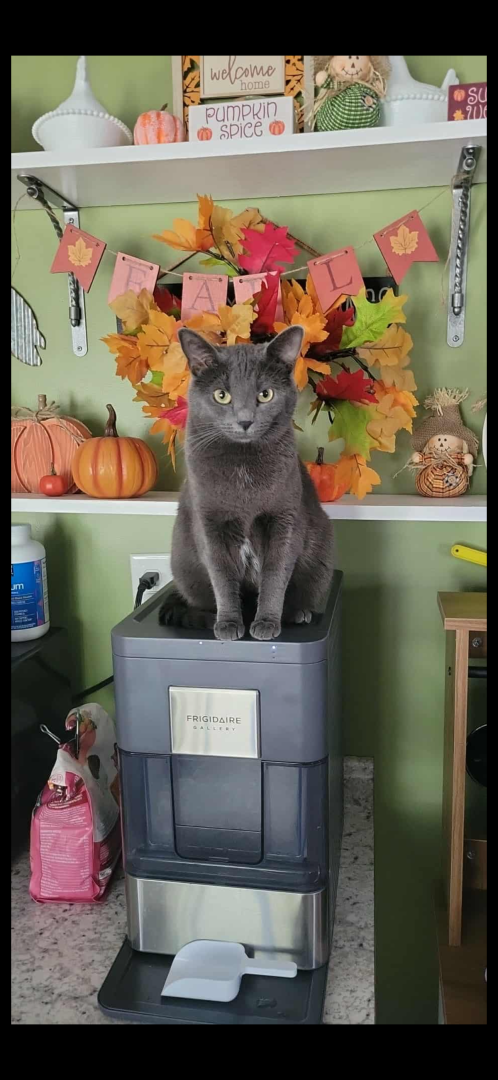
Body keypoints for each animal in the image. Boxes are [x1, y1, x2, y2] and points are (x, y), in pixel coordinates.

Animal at [159, 324, 334, 641]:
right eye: (221, 395)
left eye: (265, 395)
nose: (244, 421)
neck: (243, 471)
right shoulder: (210, 523)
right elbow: (222, 576)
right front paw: (228, 624)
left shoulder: (284, 518)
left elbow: (276, 574)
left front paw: (266, 622)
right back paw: (209, 619)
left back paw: (295, 614)